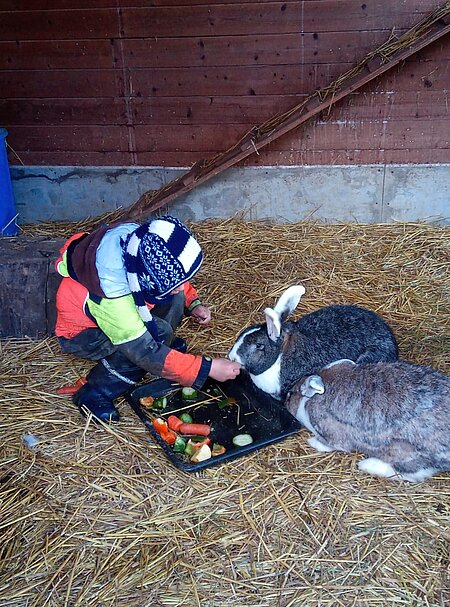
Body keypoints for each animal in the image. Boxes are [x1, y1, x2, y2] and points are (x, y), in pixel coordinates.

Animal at [286, 358, 450, 482]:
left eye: (290, 394)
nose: (285, 401)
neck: (311, 400)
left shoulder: (331, 434)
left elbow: (331, 444)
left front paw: (312, 442)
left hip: (403, 453)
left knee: (410, 473)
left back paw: (366, 465)